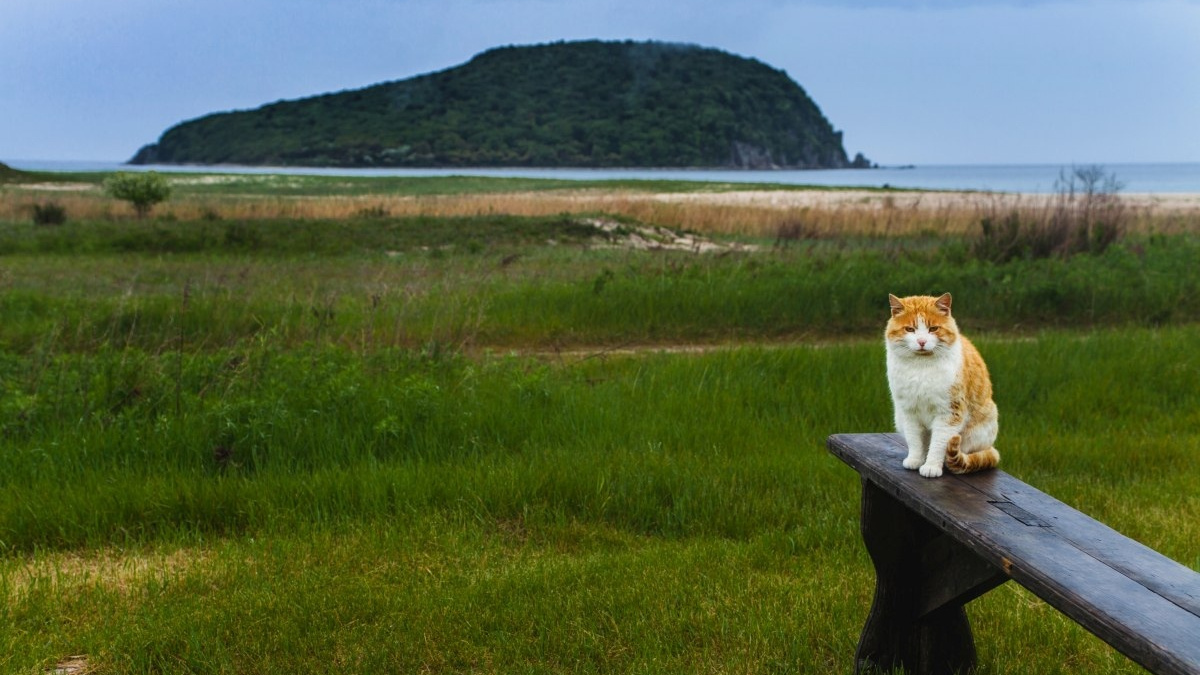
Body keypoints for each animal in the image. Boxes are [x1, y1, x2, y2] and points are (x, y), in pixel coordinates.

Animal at [883, 291, 1003, 475]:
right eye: (910, 329)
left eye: (933, 329)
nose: (922, 342)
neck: (921, 368)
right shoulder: (909, 412)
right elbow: (915, 440)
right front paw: (915, 460)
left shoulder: (948, 413)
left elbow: (938, 443)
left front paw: (931, 466)